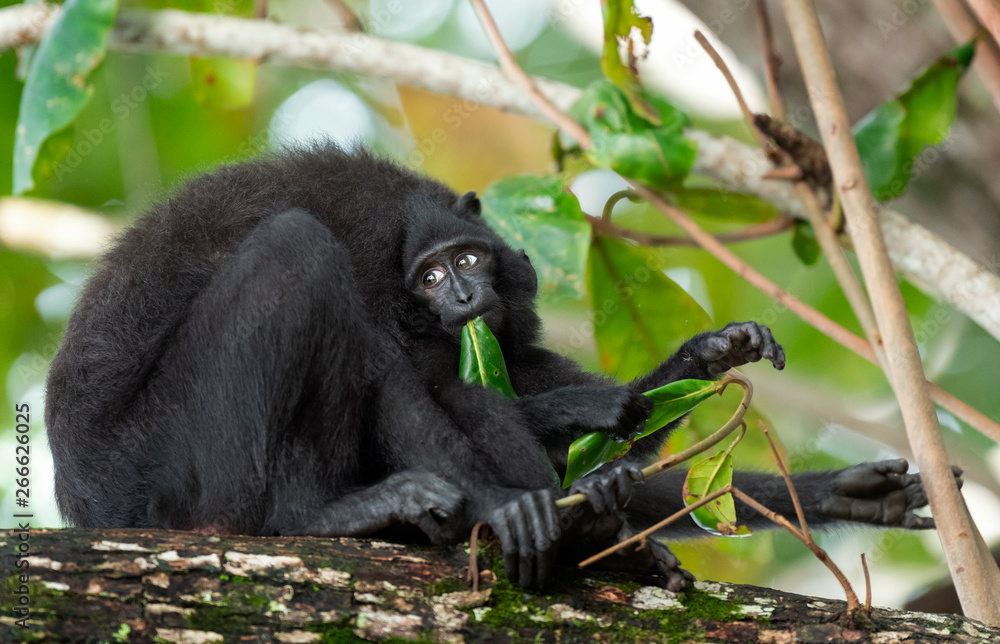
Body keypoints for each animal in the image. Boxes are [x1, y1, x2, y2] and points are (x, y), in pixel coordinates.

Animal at [46, 144, 960, 591]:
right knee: (299, 256)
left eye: (469, 259)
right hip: (170, 470)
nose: (461, 292)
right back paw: (316, 518)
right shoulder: (384, 278)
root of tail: (84, 496)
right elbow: (419, 388)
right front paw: (517, 504)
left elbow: (573, 407)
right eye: (429, 276)